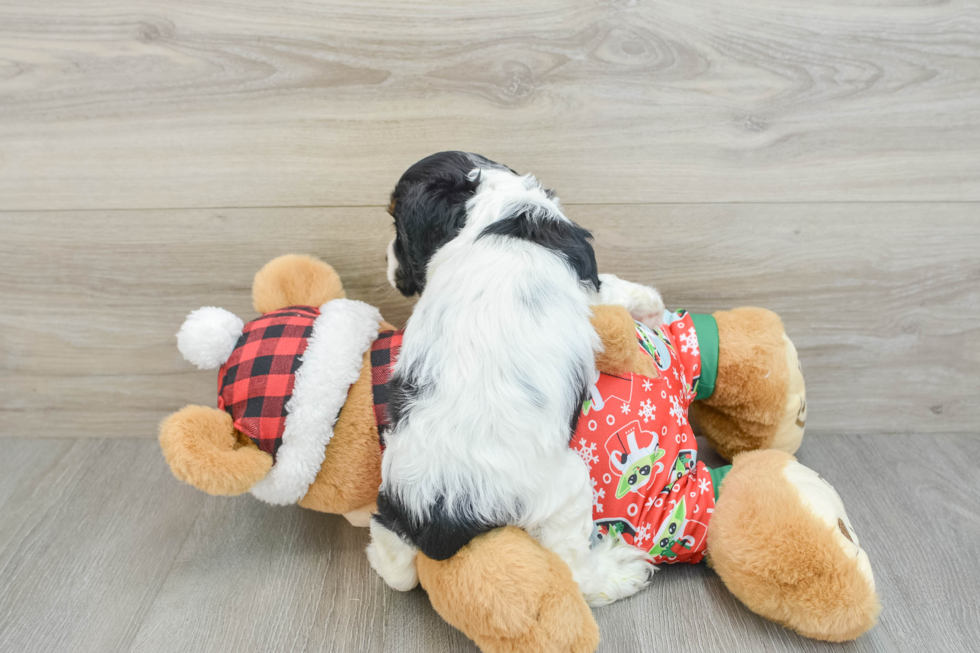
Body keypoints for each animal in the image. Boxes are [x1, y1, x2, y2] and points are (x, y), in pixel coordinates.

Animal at [370, 152, 668, 600]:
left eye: (398, 230)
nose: (387, 263)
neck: (492, 206)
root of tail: (438, 509)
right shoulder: (591, 285)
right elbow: (617, 290)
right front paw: (652, 308)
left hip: (391, 500)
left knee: (396, 568)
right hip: (567, 487)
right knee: (574, 568)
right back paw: (619, 570)